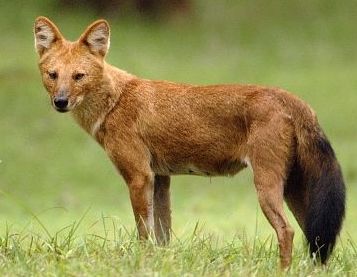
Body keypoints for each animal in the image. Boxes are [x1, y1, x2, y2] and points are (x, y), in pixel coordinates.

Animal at [34, 16, 344, 266]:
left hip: (267, 185)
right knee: (316, 237)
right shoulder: (160, 177)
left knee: (287, 231)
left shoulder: (139, 176)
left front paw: (142, 264)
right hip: (294, 190)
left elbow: (144, 234)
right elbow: (162, 236)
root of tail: (290, 97)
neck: (114, 101)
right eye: (53, 75)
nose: (60, 101)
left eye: (79, 76)